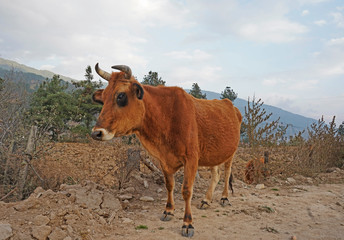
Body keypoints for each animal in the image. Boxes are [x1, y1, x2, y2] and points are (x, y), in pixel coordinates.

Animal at [91, 64, 242, 238]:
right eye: (103, 99)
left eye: (121, 96)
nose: (96, 133)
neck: (165, 116)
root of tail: (231, 106)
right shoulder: (164, 160)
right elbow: (169, 185)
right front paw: (168, 210)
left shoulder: (191, 159)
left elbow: (186, 190)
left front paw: (188, 223)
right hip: (215, 153)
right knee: (216, 175)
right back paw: (206, 200)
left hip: (231, 153)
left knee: (226, 174)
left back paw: (224, 198)